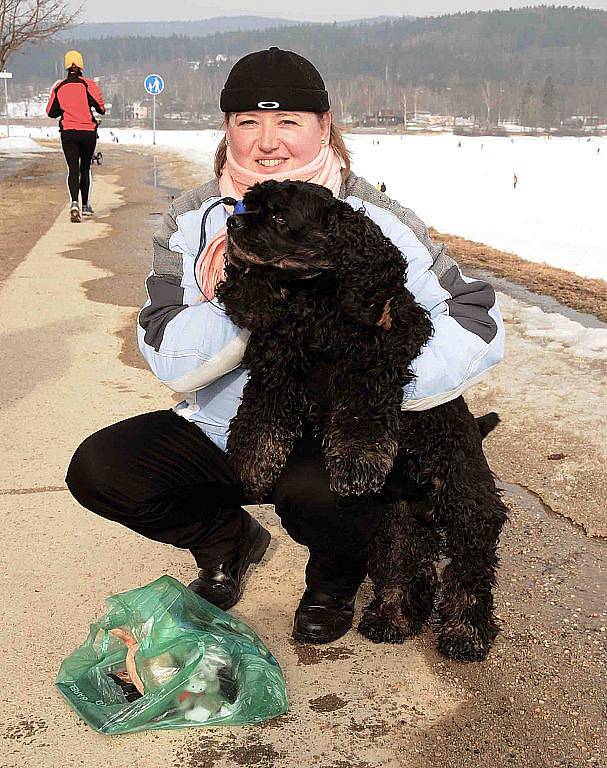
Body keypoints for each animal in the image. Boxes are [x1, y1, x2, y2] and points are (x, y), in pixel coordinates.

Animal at [216, 180, 510, 660]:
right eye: (247, 204)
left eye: (278, 216)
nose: (232, 225)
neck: (315, 302)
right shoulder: (277, 368)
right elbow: (259, 422)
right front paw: (250, 468)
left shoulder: (372, 367)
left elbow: (360, 422)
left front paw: (355, 467)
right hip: (397, 520)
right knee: (403, 568)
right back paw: (391, 619)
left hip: (466, 504)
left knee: (469, 574)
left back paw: (464, 634)